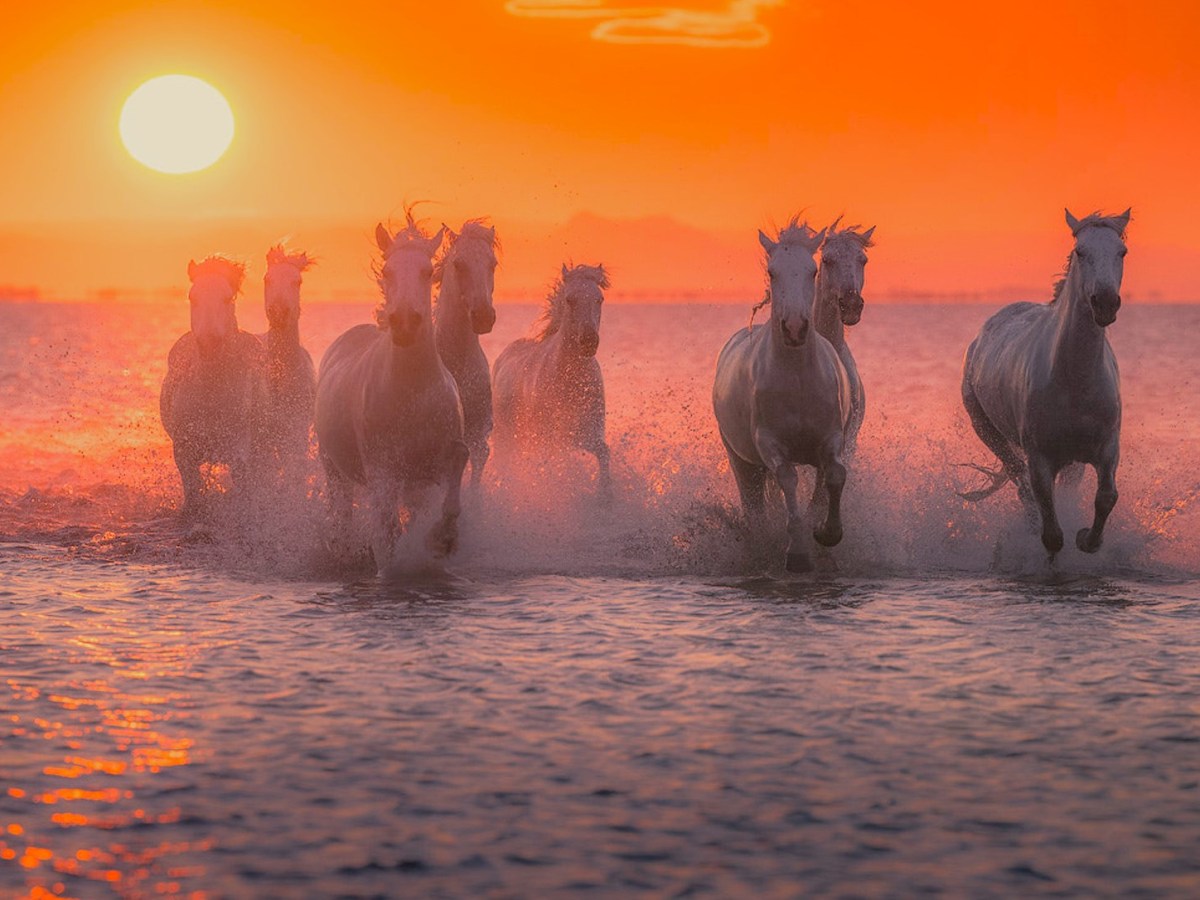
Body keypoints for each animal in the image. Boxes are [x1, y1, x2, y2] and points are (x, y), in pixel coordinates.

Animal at [160, 256, 268, 521]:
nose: (209, 343)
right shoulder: (184, 449)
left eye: (228, 298)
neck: (211, 393)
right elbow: (193, 492)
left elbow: (243, 484)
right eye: (192, 297)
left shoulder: (239, 449)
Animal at [314, 214, 467, 571]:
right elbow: (388, 532)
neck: (411, 391)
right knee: (343, 512)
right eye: (387, 271)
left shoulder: (431, 468)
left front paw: (443, 539)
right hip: (334, 469)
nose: (405, 323)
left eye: (429, 271)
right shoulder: (383, 470)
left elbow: (458, 464)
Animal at [491, 263, 612, 500]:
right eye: (569, 299)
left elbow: (603, 453)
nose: (588, 341)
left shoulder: (586, 433)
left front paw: (605, 494)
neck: (570, 378)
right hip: (505, 436)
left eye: (599, 299)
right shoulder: (548, 439)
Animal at [713, 218, 848, 574]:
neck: (797, 379)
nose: (795, 328)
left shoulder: (830, 439)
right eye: (773, 272)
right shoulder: (769, 443)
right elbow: (788, 479)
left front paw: (827, 533)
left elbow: (836, 476)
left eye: (813, 270)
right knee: (753, 504)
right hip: (741, 460)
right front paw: (797, 553)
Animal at [960, 208, 1130, 557]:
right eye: (1080, 251)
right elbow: (1049, 526)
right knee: (1019, 481)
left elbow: (1106, 497)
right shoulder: (1040, 457)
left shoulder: (1106, 449)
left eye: (1122, 252)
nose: (1105, 303)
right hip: (987, 431)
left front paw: (1087, 540)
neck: (1075, 382)